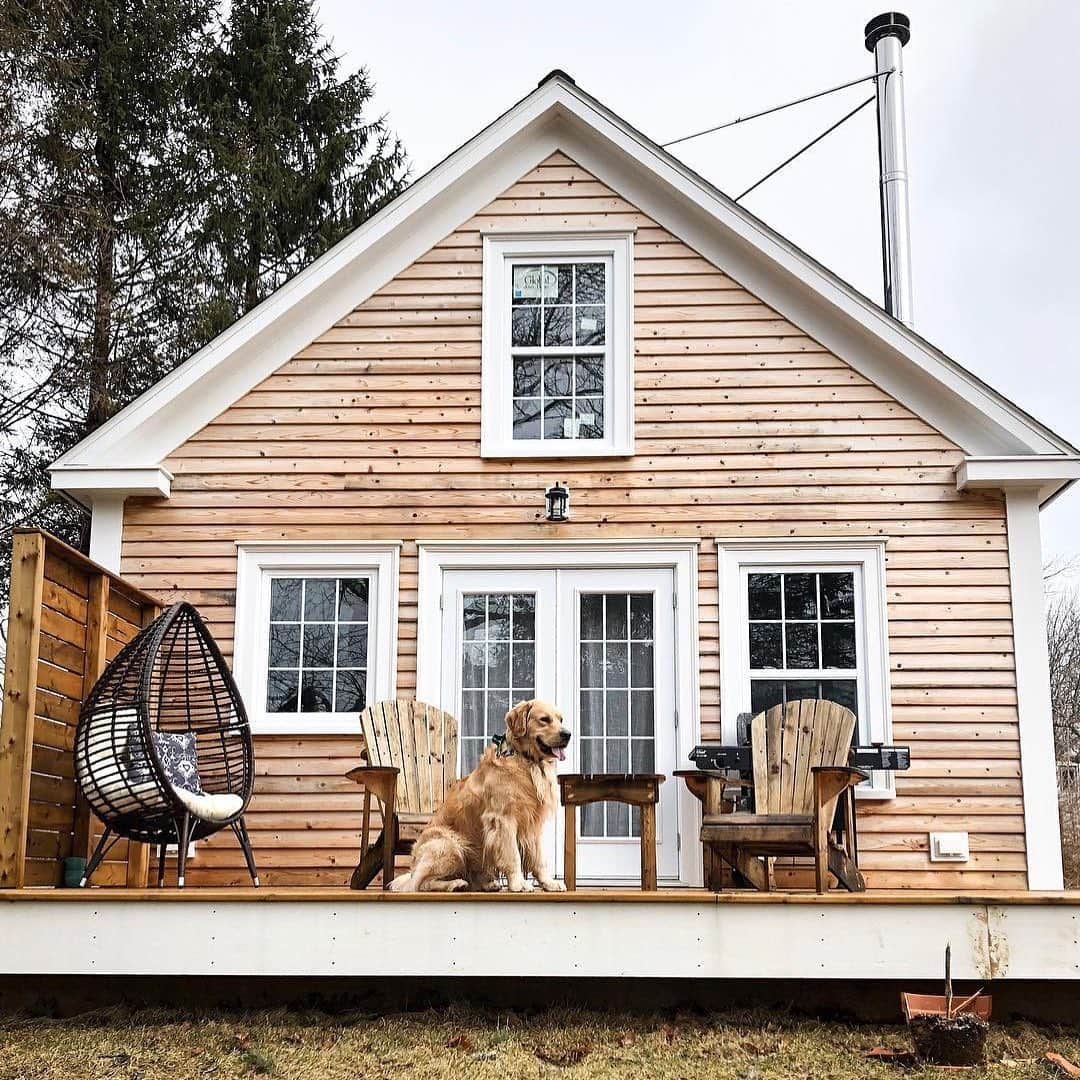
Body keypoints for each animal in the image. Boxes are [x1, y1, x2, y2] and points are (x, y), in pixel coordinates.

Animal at [390, 699, 574, 894]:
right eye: (544, 719)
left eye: (560, 720)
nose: (567, 734)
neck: (526, 761)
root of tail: (412, 868)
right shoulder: (502, 819)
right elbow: (513, 855)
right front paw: (519, 883)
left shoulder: (533, 825)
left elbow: (540, 860)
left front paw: (549, 883)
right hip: (448, 844)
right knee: (420, 884)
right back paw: (455, 884)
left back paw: (485, 883)